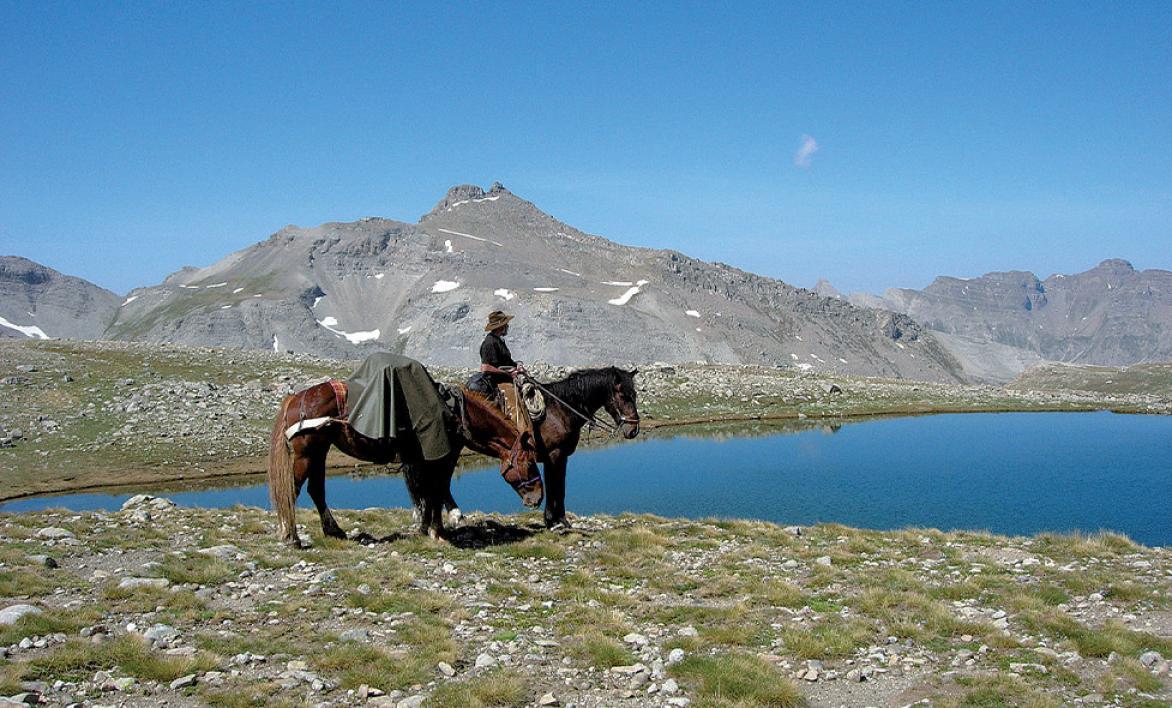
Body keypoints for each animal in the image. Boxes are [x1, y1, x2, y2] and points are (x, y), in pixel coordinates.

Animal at [267, 382, 543, 547]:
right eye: (529, 462)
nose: (538, 498)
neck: (457, 414)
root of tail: (296, 398)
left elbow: (427, 492)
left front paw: (425, 525)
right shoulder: (441, 457)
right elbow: (436, 489)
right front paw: (438, 530)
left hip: (319, 452)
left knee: (316, 490)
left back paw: (334, 531)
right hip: (307, 454)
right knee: (292, 489)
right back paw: (290, 536)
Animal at [446, 367, 640, 529]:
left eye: (635, 394)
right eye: (623, 396)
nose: (633, 430)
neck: (560, 410)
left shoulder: (557, 457)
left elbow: (557, 486)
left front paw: (555, 519)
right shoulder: (555, 455)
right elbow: (555, 487)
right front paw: (556, 520)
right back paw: (455, 516)